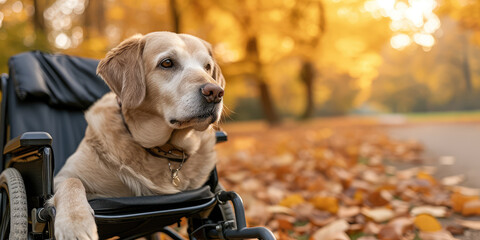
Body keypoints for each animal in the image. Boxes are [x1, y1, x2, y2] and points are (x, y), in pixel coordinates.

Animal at [50, 31, 225, 239]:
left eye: (207, 67)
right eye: (167, 63)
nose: (215, 92)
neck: (163, 149)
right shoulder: (61, 177)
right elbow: (72, 182)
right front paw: (75, 224)